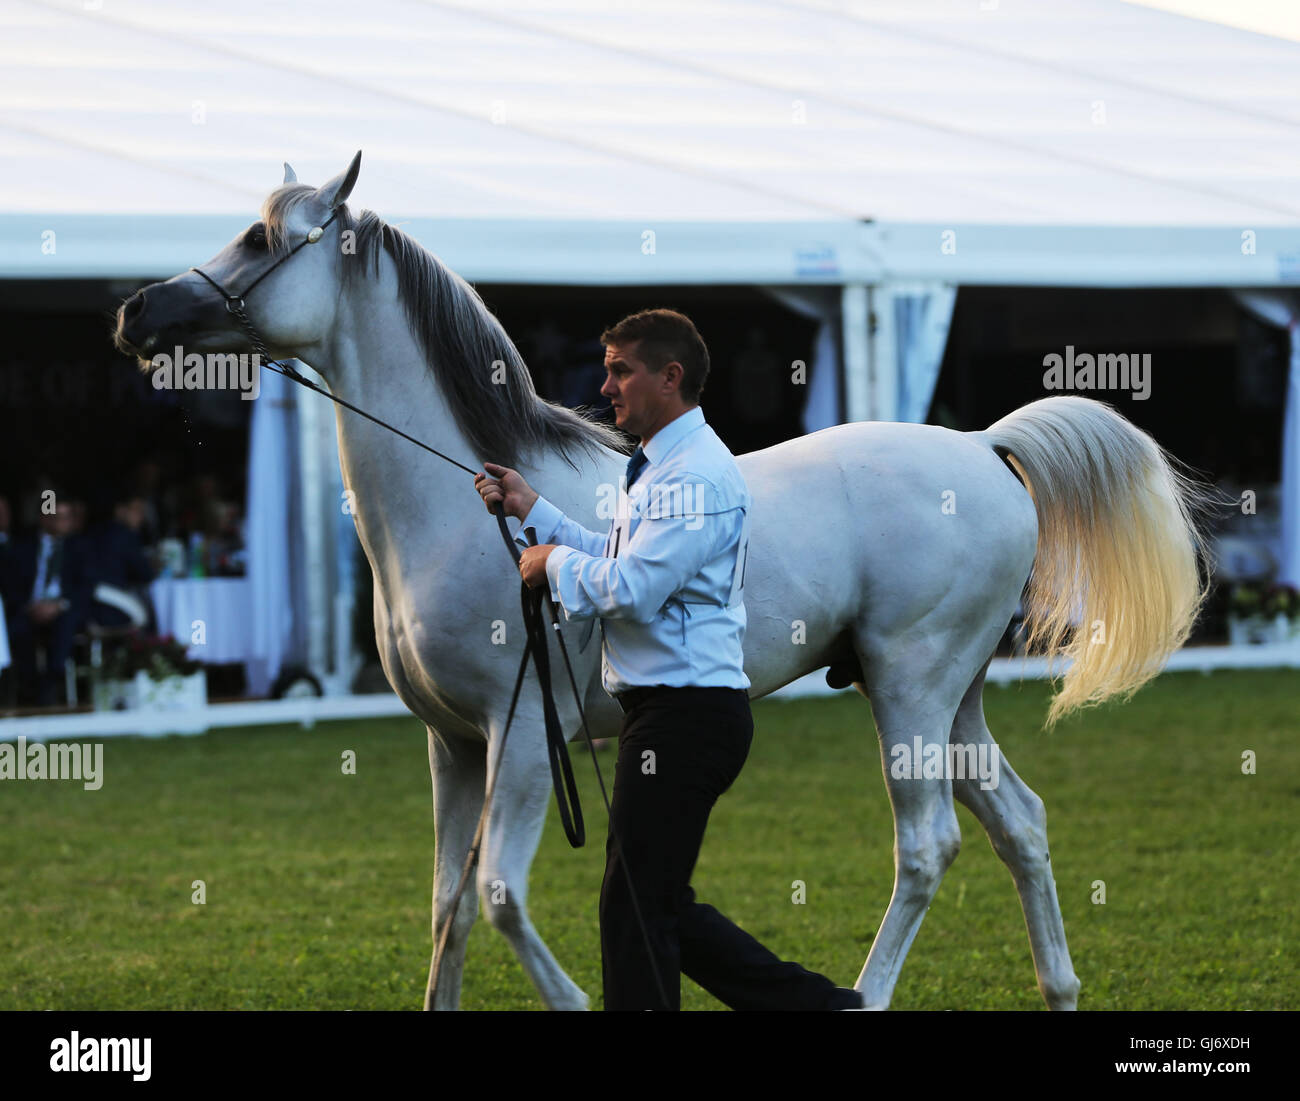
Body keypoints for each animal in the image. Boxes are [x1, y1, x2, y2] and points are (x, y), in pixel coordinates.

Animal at [113, 153, 1213, 1011]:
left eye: (260, 237)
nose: (136, 312)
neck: (467, 513)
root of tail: (984, 448)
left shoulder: (523, 739)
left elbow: (500, 896)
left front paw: (577, 996)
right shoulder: (453, 746)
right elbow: (446, 911)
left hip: (912, 686)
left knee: (928, 845)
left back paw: (870, 990)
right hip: (957, 697)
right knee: (1019, 823)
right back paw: (1059, 987)